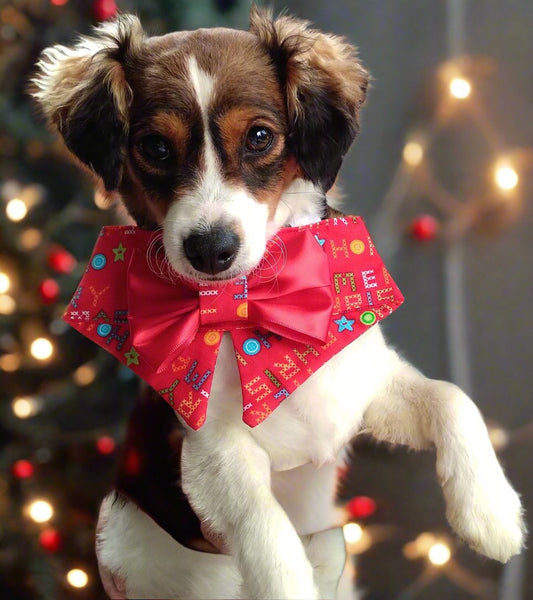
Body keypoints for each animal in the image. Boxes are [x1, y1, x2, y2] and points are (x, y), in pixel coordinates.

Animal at [32, 7, 524, 596]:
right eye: (154, 148)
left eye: (260, 136)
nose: (210, 250)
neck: (251, 307)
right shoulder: (209, 447)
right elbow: (263, 522)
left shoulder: (356, 386)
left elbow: (452, 397)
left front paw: (490, 512)